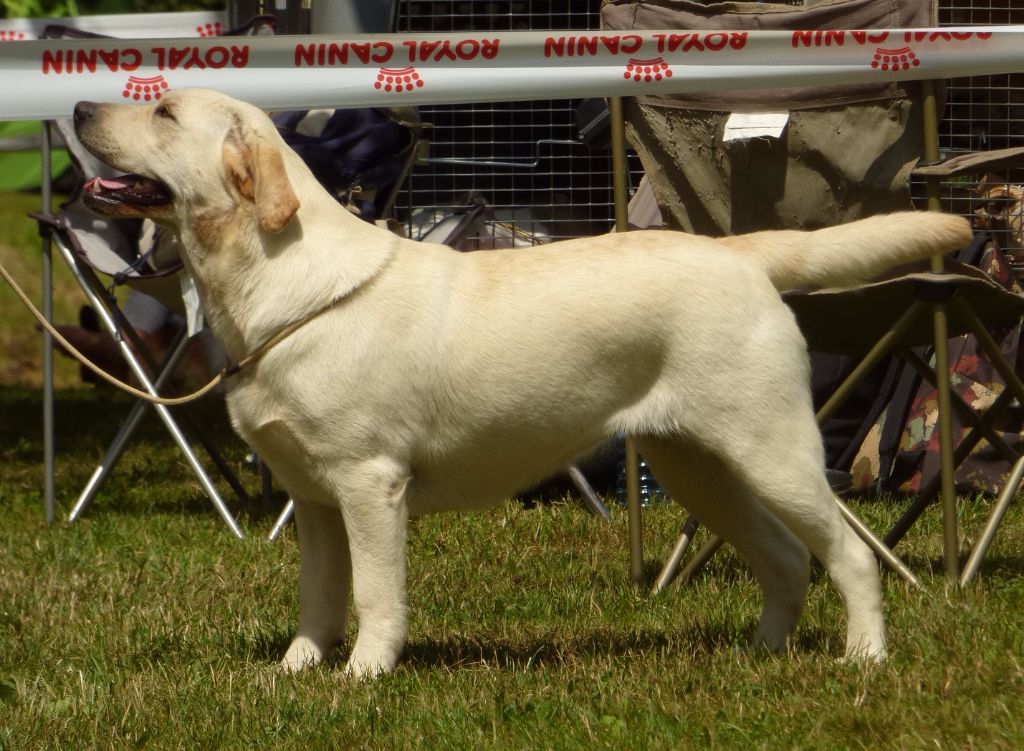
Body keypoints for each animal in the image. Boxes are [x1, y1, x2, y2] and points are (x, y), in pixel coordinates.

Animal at [73, 89, 972, 678]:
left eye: (163, 113)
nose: (79, 106)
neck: (274, 283)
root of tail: (740, 252)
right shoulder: (315, 497)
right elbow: (318, 597)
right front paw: (296, 671)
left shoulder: (369, 483)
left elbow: (373, 594)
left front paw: (365, 675)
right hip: (698, 463)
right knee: (785, 558)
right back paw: (761, 655)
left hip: (772, 446)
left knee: (848, 553)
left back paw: (863, 658)